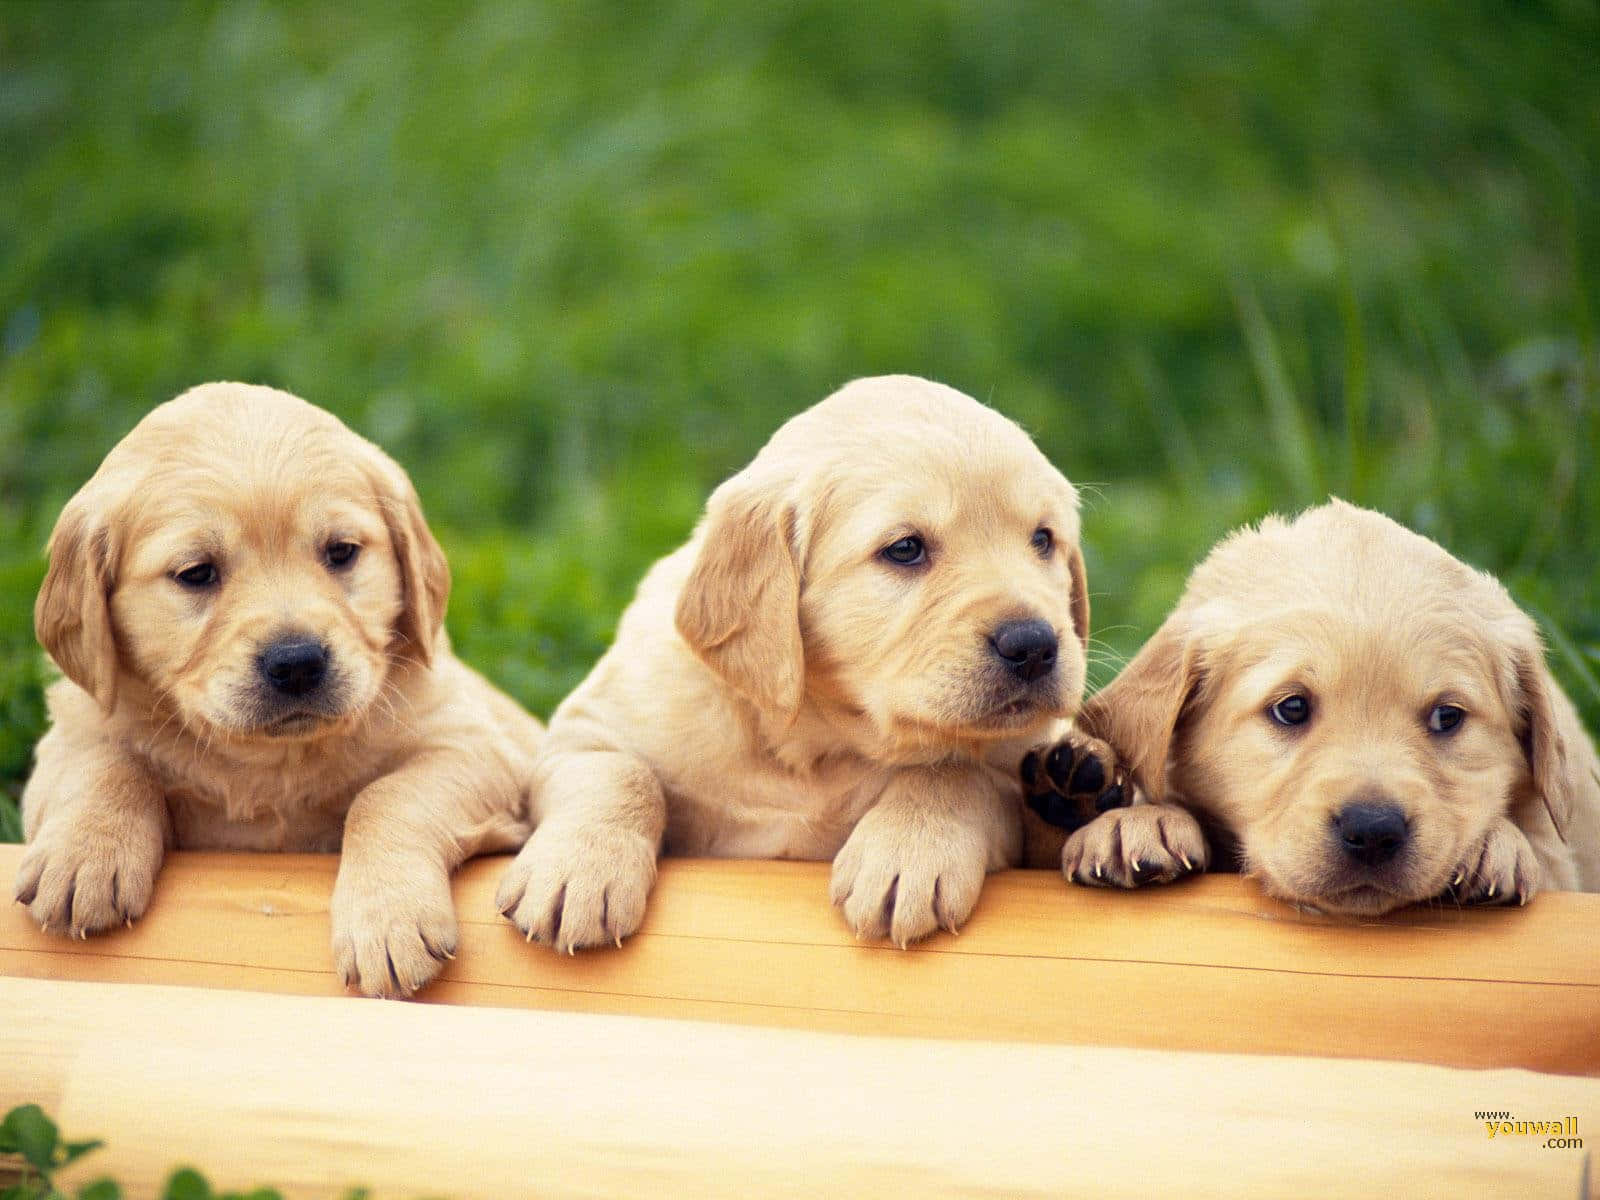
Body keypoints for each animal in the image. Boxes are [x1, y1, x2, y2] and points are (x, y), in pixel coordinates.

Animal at [17, 385, 544, 998]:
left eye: (341, 552)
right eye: (196, 573)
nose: (297, 664)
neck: (270, 761)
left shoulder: (476, 746)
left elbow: (384, 796)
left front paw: (388, 922)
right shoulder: (71, 731)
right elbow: (105, 763)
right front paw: (82, 857)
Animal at [499, 376, 1094, 947]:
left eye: (1043, 540)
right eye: (905, 549)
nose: (1034, 645)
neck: (816, 740)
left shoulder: (1013, 766)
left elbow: (955, 770)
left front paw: (909, 852)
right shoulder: (586, 728)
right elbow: (618, 772)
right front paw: (577, 873)